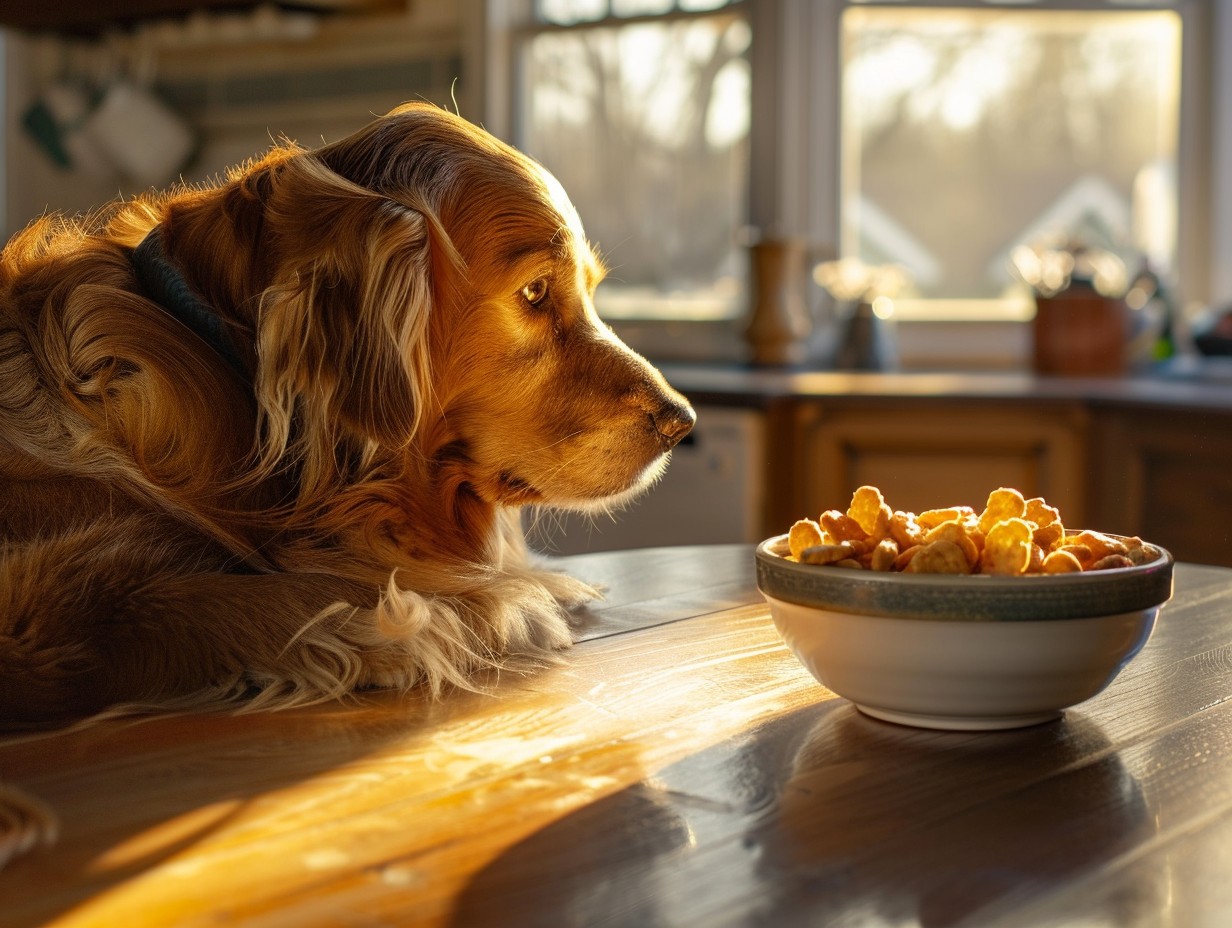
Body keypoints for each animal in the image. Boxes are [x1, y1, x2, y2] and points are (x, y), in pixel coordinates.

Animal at [0, 102, 694, 729]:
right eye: (535, 292)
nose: (680, 422)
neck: (224, 370)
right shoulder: (39, 607)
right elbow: (237, 596)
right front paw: (461, 611)